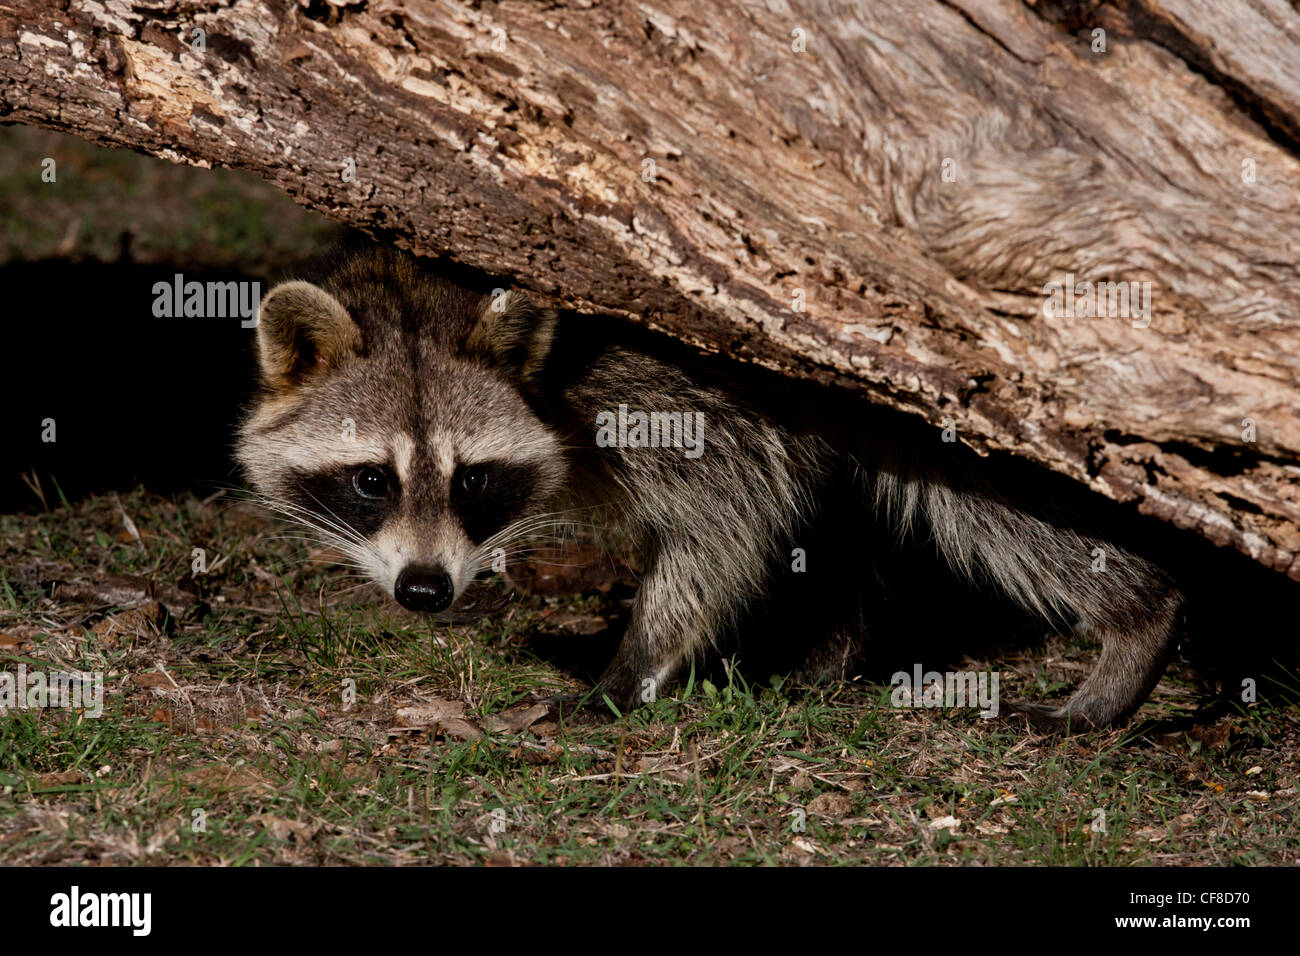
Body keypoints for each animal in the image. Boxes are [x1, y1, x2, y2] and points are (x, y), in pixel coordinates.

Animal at [236, 242, 1183, 729]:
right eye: (371, 480)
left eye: (474, 481)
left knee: (1002, 502)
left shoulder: (673, 390)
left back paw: (1138, 625)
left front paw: (632, 665)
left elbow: (724, 523)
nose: (426, 590)